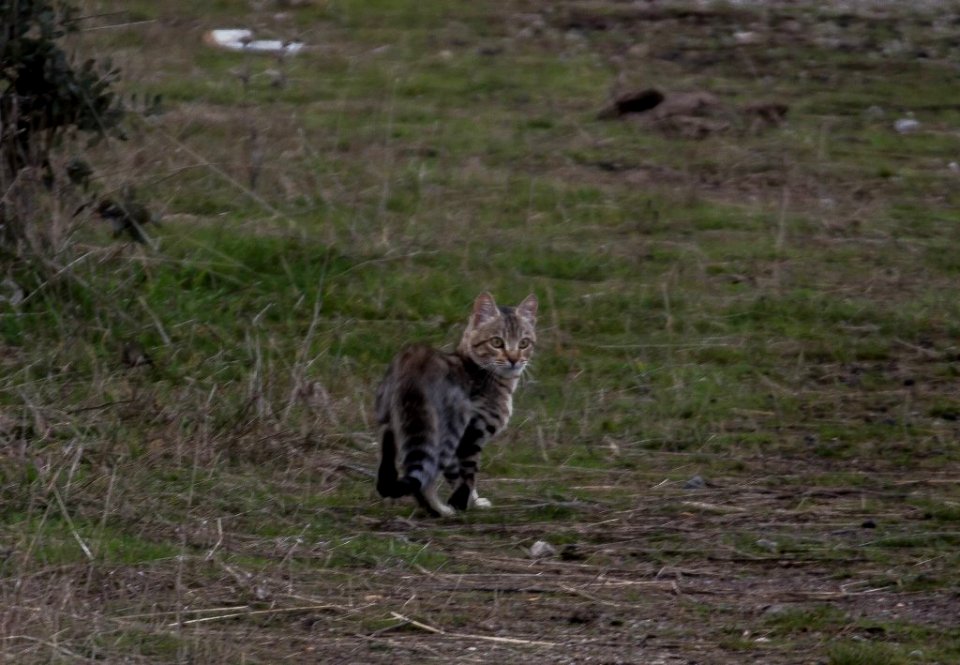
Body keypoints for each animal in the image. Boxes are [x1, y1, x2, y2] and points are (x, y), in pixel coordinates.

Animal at [376, 294, 540, 516]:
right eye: (497, 342)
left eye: (524, 343)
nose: (514, 359)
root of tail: (417, 361)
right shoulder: (472, 436)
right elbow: (467, 477)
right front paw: (468, 502)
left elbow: (456, 476)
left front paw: (467, 501)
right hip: (448, 431)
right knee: (426, 477)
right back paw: (441, 511)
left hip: (391, 416)